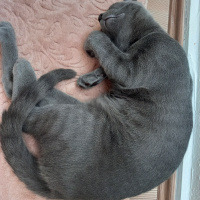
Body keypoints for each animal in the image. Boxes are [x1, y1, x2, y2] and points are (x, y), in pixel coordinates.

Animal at [0, 0, 194, 199]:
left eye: (112, 6)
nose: (100, 15)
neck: (145, 35)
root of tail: (57, 191)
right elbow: (108, 59)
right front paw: (92, 77)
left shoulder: (135, 68)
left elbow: (103, 44)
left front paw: (93, 44)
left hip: (70, 117)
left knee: (23, 106)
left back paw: (15, 50)